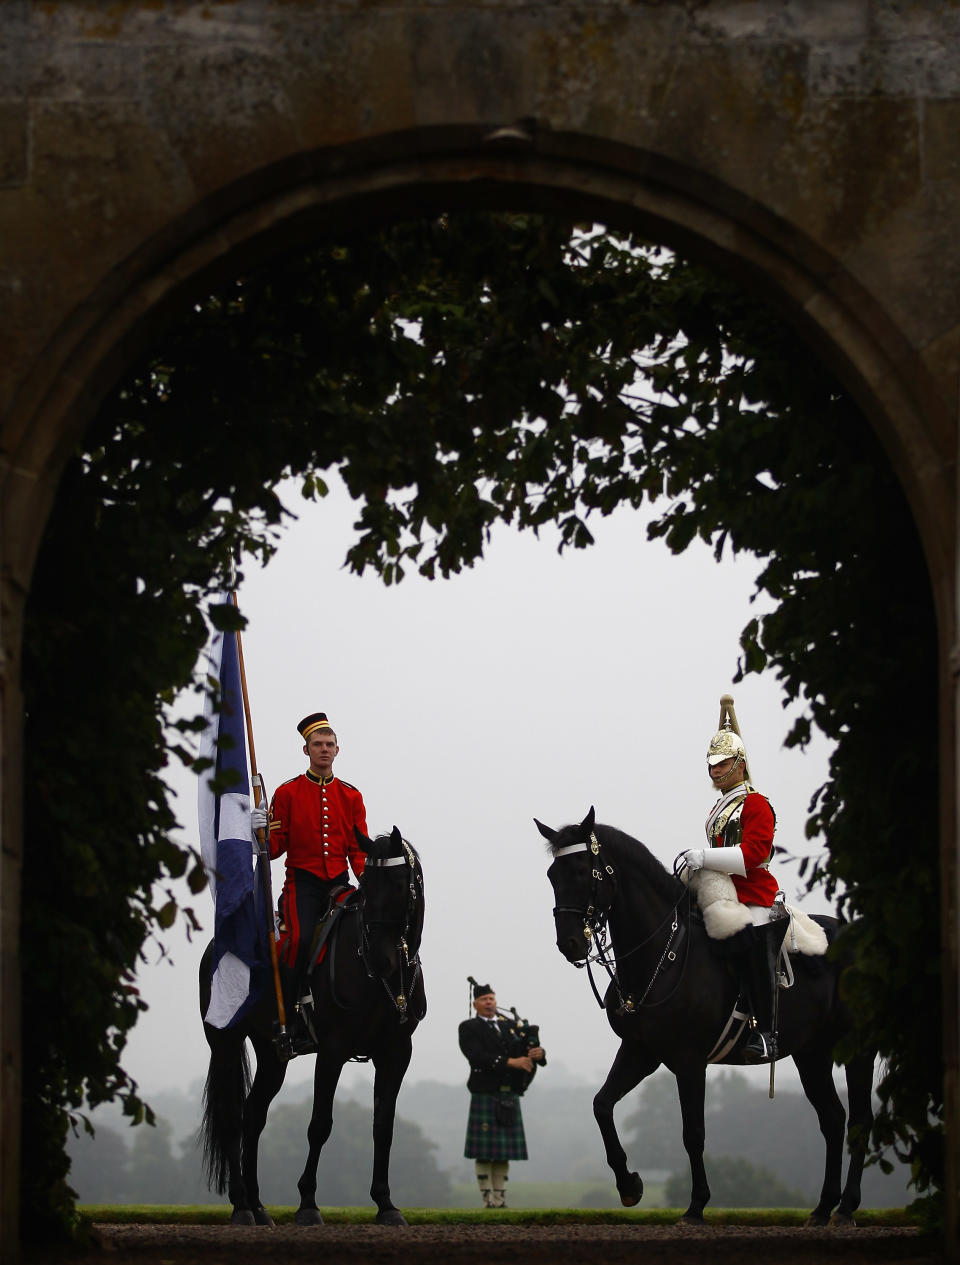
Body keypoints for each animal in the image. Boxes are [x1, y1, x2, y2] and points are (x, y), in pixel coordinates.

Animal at [197, 829, 424, 1224]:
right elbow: (320, 1124)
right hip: (225, 1042)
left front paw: (385, 1204)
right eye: (366, 884)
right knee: (230, 1117)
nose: (381, 959)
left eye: (398, 884)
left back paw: (258, 1206)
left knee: (253, 1116)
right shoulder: (333, 1050)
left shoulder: (396, 1052)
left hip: (272, 1055)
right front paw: (307, 1203)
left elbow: (384, 1126)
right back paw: (241, 1206)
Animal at [536, 809, 875, 1224]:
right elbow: (602, 1105)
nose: (569, 943)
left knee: (859, 1121)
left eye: (584, 871)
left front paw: (696, 1205)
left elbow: (692, 1132)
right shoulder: (640, 1051)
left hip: (857, 1050)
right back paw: (824, 1206)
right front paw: (629, 1185)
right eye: (553, 875)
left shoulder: (689, 1060)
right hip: (812, 1053)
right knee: (833, 1119)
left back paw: (846, 1206)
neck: (662, 955)